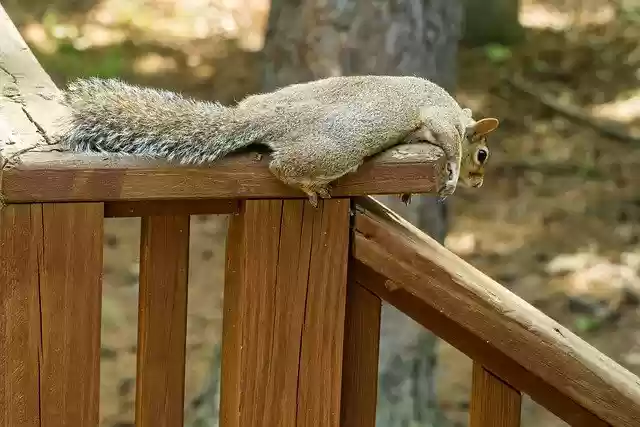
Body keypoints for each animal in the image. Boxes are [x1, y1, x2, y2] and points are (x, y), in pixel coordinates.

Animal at [58, 75, 499, 206]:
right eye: (482, 154)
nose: (479, 184)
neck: (459, 114)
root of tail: (261, 118)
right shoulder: (439, 116)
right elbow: (446, 144)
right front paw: (452, 175)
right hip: (339, 151)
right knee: (281, 167)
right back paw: (308, 186)